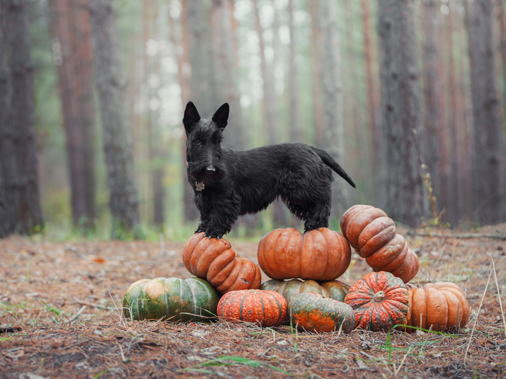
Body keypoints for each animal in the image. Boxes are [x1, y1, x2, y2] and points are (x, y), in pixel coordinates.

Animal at [183, 101, 356, 238]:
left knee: (323, 201)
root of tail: (311, 149)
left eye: (217, 141)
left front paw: (213, 231)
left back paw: (314, 223)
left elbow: (219, 214)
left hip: (303, 189)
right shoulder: (204, 199)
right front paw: (202, 228)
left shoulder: (226, 198)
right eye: (197, 140)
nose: (211, 170)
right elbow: (206, 215)